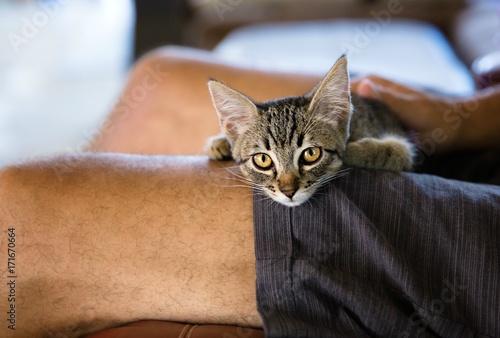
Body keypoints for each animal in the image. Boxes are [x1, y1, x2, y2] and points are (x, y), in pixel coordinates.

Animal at [205, 55, 412, 206]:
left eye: (311, 153)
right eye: (262, 159)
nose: (288, 192)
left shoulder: (404, 150)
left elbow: (393, 151)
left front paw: (350, 152)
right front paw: (221, 142)